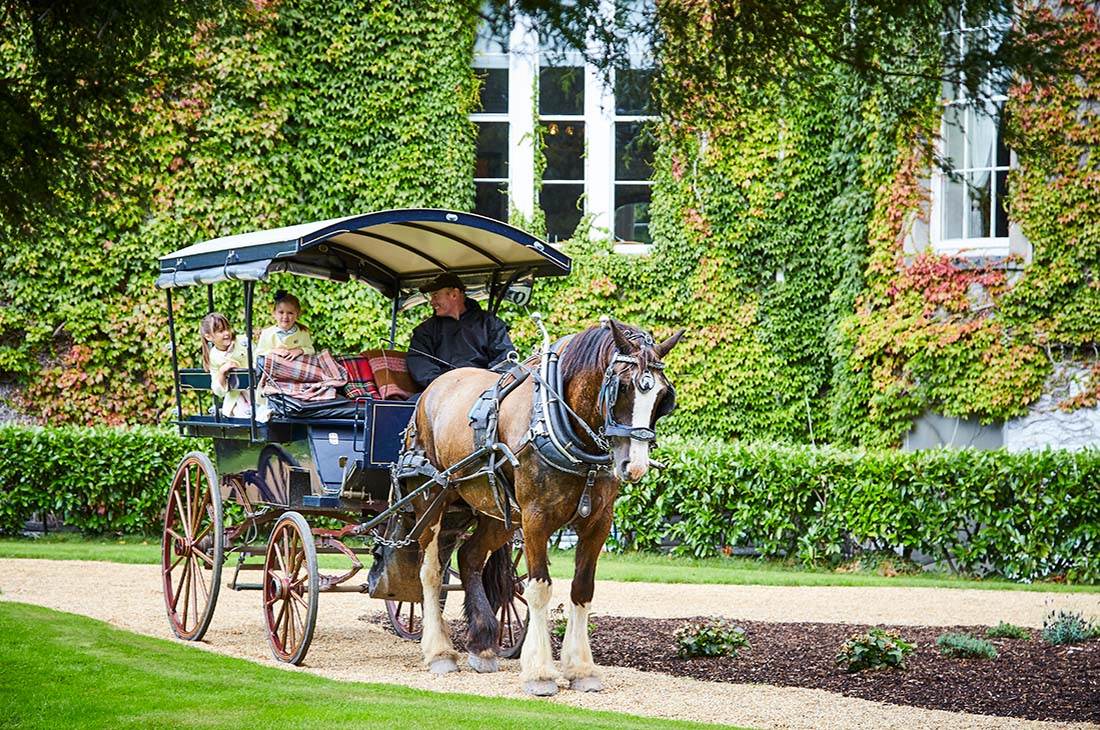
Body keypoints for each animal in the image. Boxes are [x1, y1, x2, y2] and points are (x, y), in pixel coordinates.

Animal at [400, 321, 682, 694]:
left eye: (662, 397)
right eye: (621, 387)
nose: (633, 466)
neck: (561, 425)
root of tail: (435, 388)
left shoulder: (598, 523)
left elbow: (582, 589)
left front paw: (581, 669)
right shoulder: (536, 519)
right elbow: (539, 589)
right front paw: (540, 672)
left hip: (497, 513)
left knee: (470, 557)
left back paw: (483, 645)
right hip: (431, 500)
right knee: (430, 572)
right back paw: (439, 652)